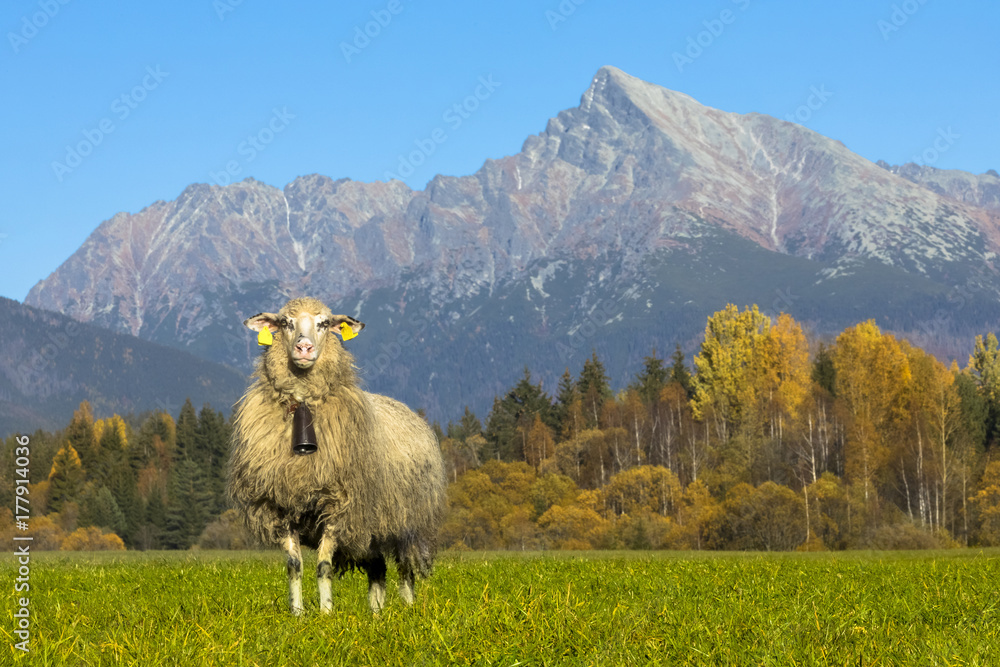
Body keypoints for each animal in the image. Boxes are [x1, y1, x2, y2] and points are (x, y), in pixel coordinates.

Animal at [226, 296, 446, 615]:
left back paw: (407, 608)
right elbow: (294, 566)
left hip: (406, 520)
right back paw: (376, 613)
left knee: (405, 569)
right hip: (369, 526)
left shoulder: (339, 505)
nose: (304, 348)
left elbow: (323, 565)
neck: (304, 405)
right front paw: (298, 614)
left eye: (324, 323)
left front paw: (326, 613)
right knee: (378, 568)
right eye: (285, 323)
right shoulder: (282, 505)